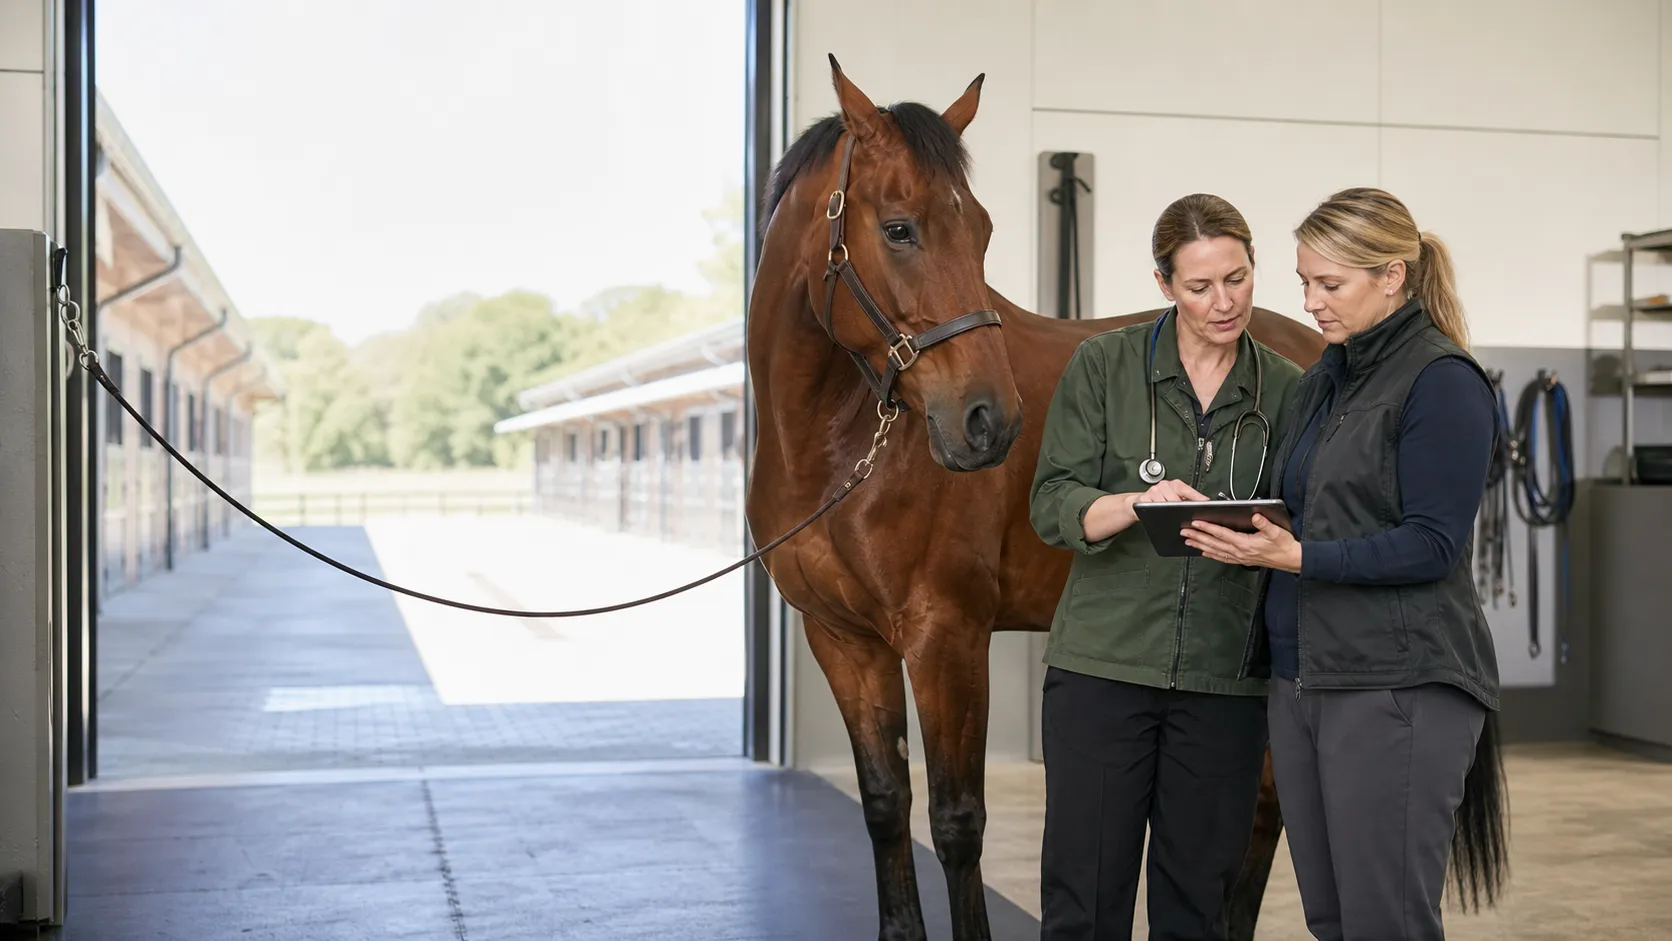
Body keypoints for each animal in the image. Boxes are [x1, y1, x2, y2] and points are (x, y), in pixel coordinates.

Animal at [744, 58, 1503, 940]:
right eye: (899, 229)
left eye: (984, 232)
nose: (989, 421)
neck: (834, 453)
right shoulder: (842, 640)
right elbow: (883, 804)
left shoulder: (947, 635)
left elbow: (956, 822)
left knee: (1266, 811)